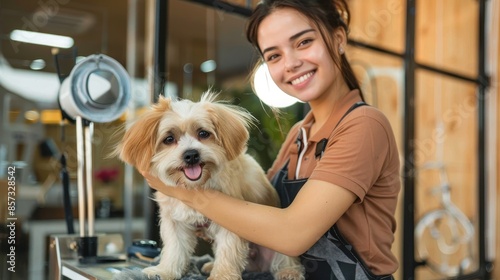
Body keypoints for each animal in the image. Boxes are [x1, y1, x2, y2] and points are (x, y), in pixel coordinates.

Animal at [115, 93, 302, 278]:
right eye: (169, 139)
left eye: (203, 133)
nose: (191, 155)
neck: (197, 185)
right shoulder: (175, 221)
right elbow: (175, 250)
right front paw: (164, 271)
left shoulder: (231, 221)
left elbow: (228, 253)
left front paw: (221, 276)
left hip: (280, 243)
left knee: (285, 261)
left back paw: (289, 272)